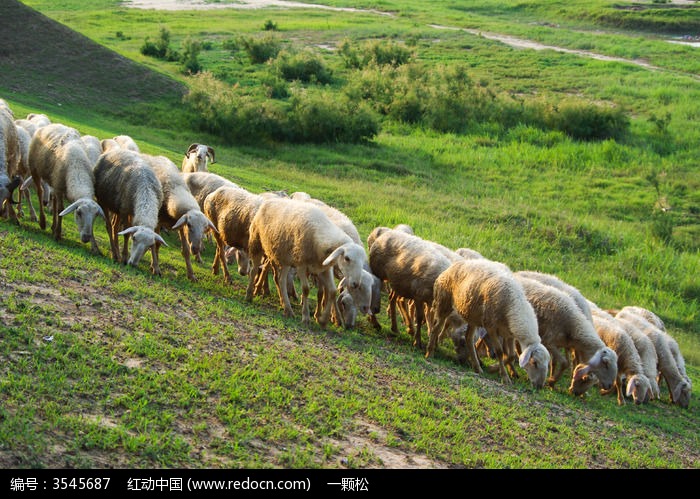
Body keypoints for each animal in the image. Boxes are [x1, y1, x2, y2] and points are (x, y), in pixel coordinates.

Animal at [25, 121, 104, 254]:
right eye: (79, 212)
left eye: (95, 216)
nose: (86, 237)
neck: (77, 166)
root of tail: (53, 124)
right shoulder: (59, 188)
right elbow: (60, 209)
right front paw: (57, 235)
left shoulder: (58, 186)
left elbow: (58, 208)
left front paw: (95, 247)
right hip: (34, 168)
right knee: (40, 192)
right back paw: (43, 222)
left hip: (53, 180)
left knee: (54, 201)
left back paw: (52, 226)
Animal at [142, 154, 216, 282]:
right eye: (190, 225)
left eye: (204, 229)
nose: (196, 249)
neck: (174, 187)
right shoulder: (158, 222)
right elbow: (156, 245)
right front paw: (155, 267)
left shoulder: (180, 226)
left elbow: (185, 251)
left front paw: (191, 275)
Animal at [245, 197, 366, 330]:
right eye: (347, 258)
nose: (355, 284)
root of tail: (271, 199)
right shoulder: (301, 264)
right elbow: (306, 289)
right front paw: (306, 317)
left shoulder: (324, 268)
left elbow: (332, 291)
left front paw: (322, 320)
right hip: (257, 242)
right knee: (254, 270)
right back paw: (249, 295)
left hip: (285, 257)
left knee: (281, 280)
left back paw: (288, 309)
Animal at [426, 258, 552, 390]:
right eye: (534, 362)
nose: (539, 386)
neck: (514, 305)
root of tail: (453, 266)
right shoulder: (491, 327)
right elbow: (500, 352)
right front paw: (505, 377)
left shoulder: (508, 334)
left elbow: (511, 355)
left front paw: (493, 368)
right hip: (444, 301)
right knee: (436, 328)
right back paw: (430, 353)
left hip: (473, 315)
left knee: (468, 338)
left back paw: (477, 367)